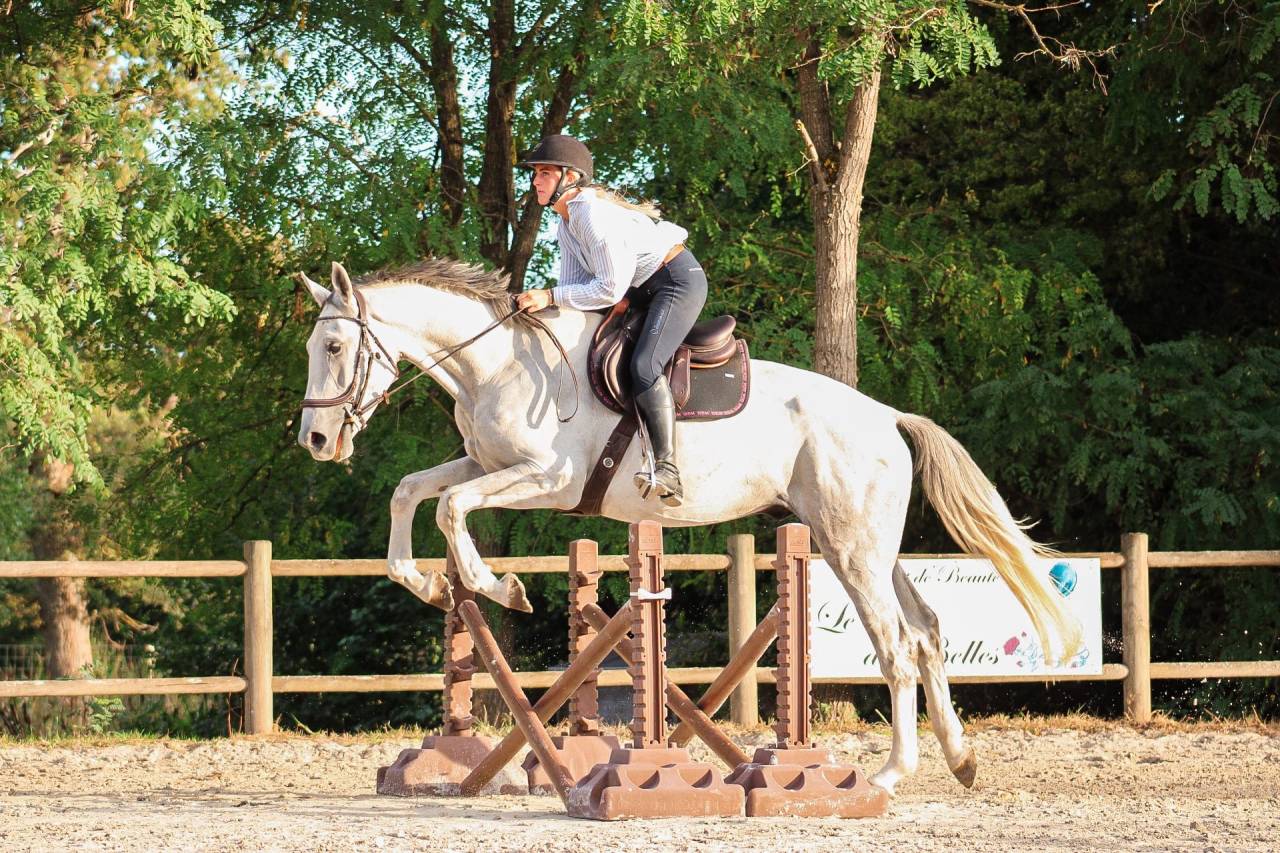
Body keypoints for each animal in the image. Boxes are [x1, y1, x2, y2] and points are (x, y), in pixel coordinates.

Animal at [295, 258, 1082, 795]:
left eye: (333, 348)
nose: (316, 441)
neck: (497, 365)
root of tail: (888, 416)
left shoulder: (546, 477)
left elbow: (452, 508)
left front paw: (500, 587)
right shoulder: (484, 463)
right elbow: (411, 494)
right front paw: (431, 585)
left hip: (851, 547)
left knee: (893, 641)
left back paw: (892, 771)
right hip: (864, 543)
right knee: (925, 630)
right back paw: (961, 758)